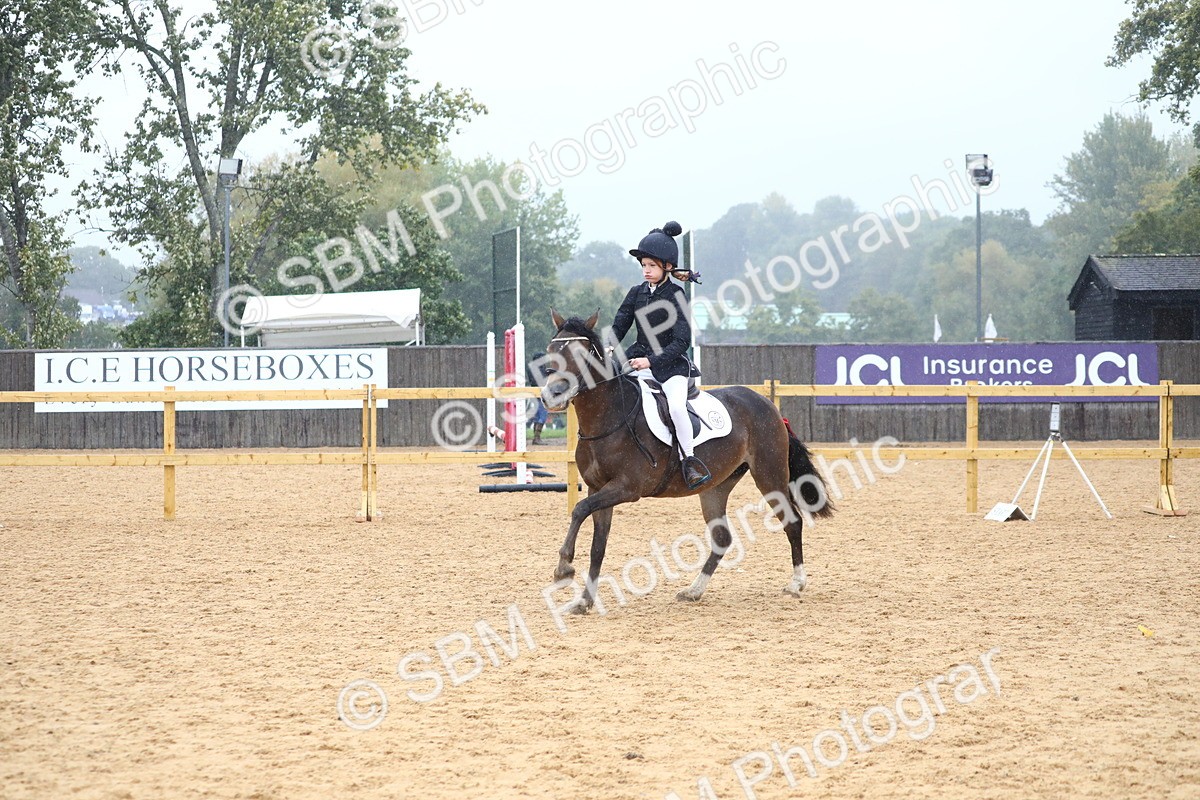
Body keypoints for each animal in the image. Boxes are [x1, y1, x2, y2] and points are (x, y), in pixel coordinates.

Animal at [540, 310, 834, 613]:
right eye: (550, 351)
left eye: (581, 353)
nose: (552, 396)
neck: (608, 418)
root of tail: (768, 405)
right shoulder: (598, 488)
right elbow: (597, 544)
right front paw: (584, 600)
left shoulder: (627, 488)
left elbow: (579, 510)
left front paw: (563, 568)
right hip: (716, 486)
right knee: (722, 537)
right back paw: (694, 590)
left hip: (769, 475)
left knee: (792, 521)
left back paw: (796, 584)